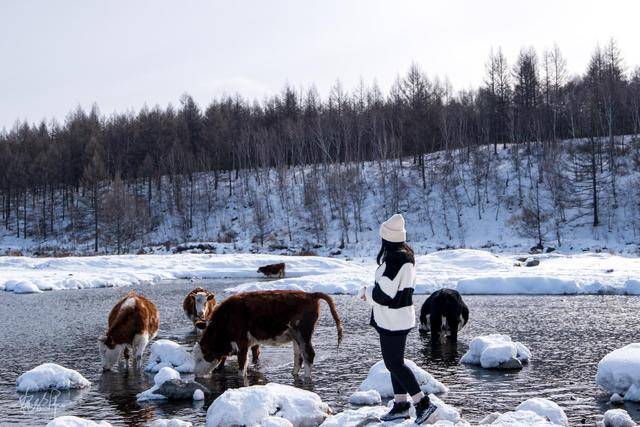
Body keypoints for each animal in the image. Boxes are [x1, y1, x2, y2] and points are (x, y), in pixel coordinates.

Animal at [192, 290, 342, 378]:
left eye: (201, 357)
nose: (195, 374)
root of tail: (310, 294)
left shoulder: (242, 342)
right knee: (298, 357)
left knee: (309, 355)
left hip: (303, 333)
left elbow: (241, 369)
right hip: (296, 336)